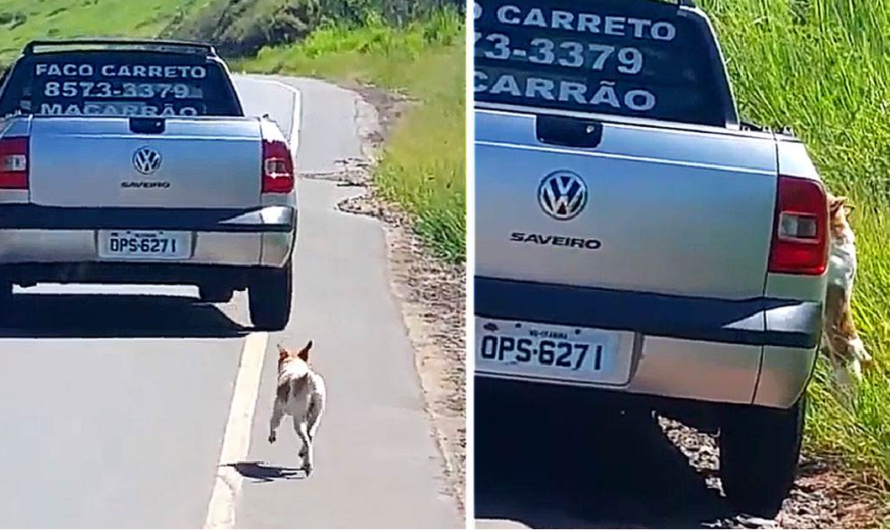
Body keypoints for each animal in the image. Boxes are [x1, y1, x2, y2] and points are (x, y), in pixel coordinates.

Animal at [270, 340, 330, 476]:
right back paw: (303, 456)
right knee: (310, 435)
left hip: (298, 420)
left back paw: (308, 465)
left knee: (307, 440)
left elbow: (273, 422)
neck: (293, 363)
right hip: (316, 415)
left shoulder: (278, 407)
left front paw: (272, 436)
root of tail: (309, 380)